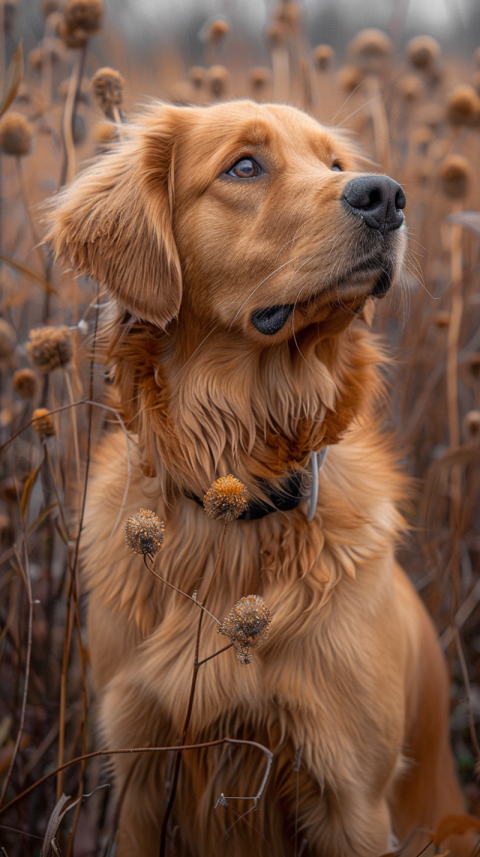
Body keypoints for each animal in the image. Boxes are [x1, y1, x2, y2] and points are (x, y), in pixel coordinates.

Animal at [47, 102, 472, 856]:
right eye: (244, 166)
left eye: (335, 164)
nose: (385, 196)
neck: (239, 492)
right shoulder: (137, 775)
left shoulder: (351, 795)